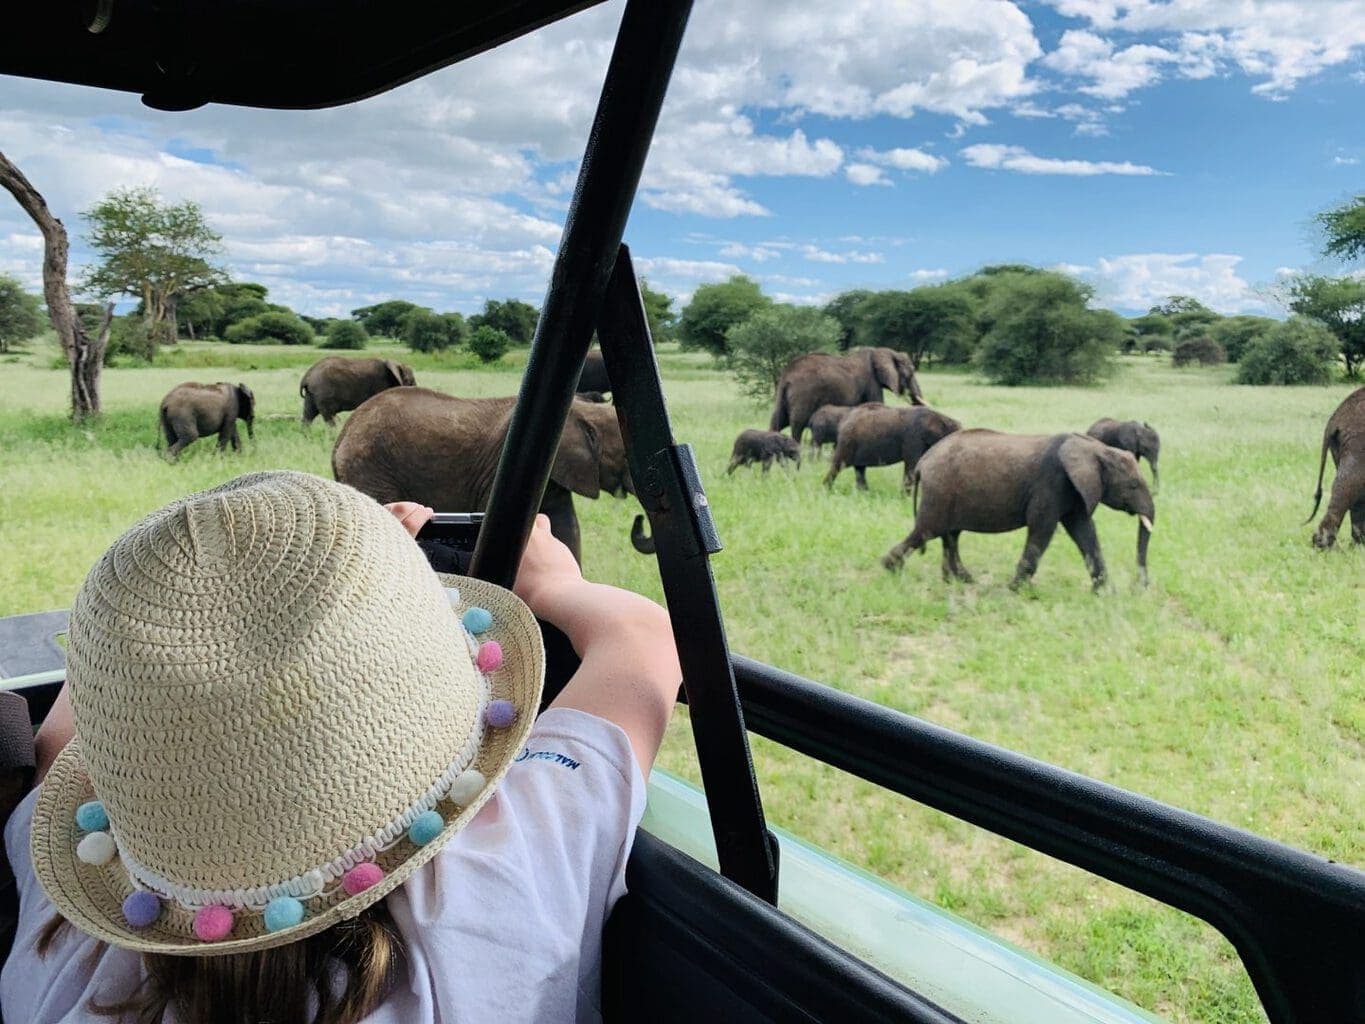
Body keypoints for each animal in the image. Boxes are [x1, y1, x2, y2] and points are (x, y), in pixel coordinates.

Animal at [333, 387, 630, 565]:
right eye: (627, 457)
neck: (582, 412)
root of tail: (343, 434)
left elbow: (567, 526)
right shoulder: (497, 470)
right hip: (370, 468)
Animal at [775, 349, 922, 445]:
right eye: (910, 373)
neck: (884, 351)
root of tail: (787, 375)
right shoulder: (871, 383)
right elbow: (876, 403)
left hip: (783, 395)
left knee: (777, 420)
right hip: (803, 395)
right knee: (797, 426)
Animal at [819, 404, 960, 494]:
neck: (940, 418)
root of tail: (844, 420)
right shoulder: (913, 438)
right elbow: (912, 464)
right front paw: (905, 498)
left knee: (860, 469)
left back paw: (865, 493)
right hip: (848, 441)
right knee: (839, 465)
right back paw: (826, 490)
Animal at [879, 431, 1157, 592]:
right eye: (1133, 485)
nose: (1140, 586)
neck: (1096, 448)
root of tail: (923, 462)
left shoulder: (1075, 490)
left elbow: (1084, 531)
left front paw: (1104, 592)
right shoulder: (1052, 484)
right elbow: (1042, 529)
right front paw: (1016, 589)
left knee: (950, 535)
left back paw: (960, 580)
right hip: (940, 491)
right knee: (927, 531)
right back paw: (890, 568)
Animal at [1299, 385, 1365, 548]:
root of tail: (1334, 419)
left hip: (1340, 446)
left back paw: (1358, 545)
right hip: (1357, 443)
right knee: (1348, 486)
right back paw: (1323, 546)